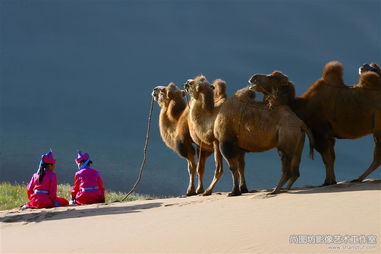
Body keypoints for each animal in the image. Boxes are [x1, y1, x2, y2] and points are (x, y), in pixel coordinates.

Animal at [248, 61, 380, 185]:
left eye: (272, 77)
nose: (253, 77)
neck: (302, 106)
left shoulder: (319, 132)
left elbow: (326, 158)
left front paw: (328, 182)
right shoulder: (328, 135)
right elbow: (331, 157)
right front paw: (331, 181)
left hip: (378, 128)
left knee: (377, 156)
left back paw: (358, 179)